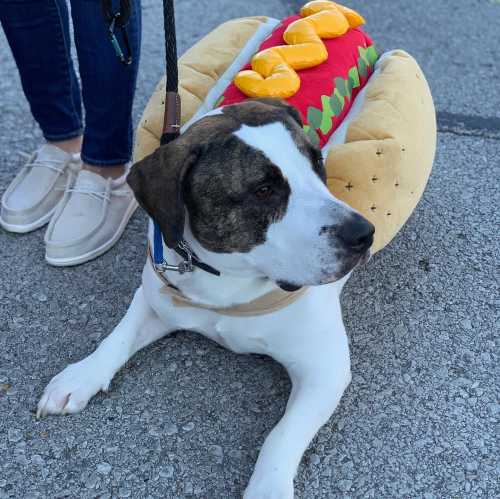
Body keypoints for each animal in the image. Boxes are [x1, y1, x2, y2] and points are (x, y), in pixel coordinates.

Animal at [38, 99, 376, 498]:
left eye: (317, 162)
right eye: (264, 190)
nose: (362, 234)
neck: (230, 281)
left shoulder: (325, 370)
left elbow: (281, 435)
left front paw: (268, 487)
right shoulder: (159, 296)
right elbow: (117, 337)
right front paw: (81, 375)